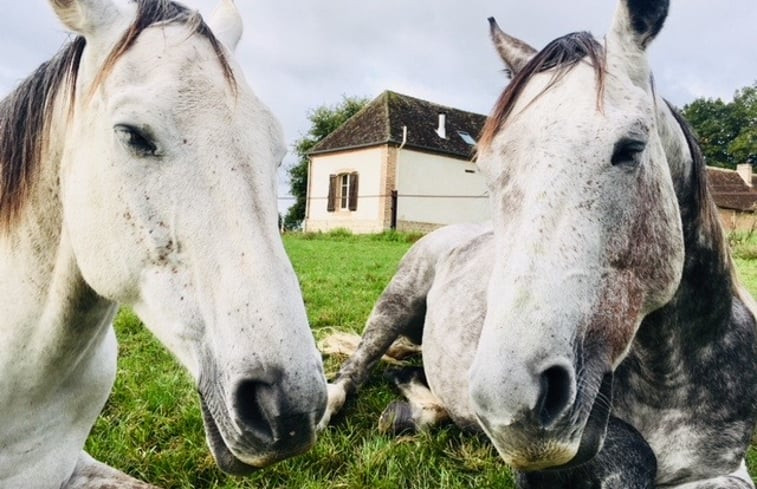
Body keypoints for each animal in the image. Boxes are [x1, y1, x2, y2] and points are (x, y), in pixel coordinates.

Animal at [318, 0, 756, 488]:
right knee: (351, 375)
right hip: (394, 304)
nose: (510, 404)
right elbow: (633, 455)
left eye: (631, 147)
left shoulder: (725, 468)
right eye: (485, 168)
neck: (673, 375)